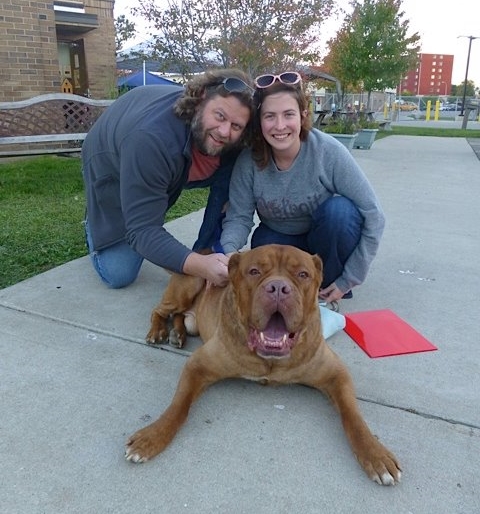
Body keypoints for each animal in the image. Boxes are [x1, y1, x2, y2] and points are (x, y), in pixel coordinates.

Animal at [124, 244, 402, 484]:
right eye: (254, 271)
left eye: (302, 274)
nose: (278, 287)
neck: (269, 359)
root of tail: (201, 251)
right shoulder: (198, 365)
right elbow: (178, 407)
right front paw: (151, 437)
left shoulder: (336, 373)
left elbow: (353, 417)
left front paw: (376, 455)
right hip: (188, 284)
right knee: (162, 310)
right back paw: (159, 332)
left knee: (181, 317)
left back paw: (178, 334)